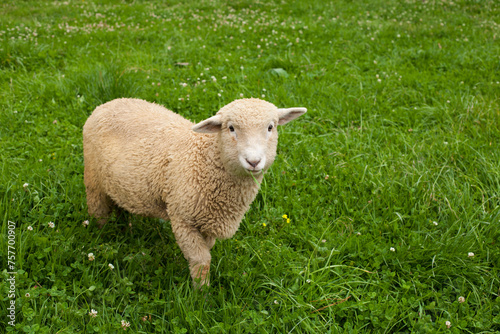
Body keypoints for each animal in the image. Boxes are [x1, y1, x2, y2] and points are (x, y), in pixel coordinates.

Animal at [84, 96, 306, 288]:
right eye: (231, 128)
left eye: (270, 127)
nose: (253, 161)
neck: (204, 158)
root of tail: (109, 103)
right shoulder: (183, 219)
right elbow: (201, 260)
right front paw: (201, 294)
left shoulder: (208, 221)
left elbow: (206, 254)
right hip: (93, 179)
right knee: (99, 212)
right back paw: (104, 237)